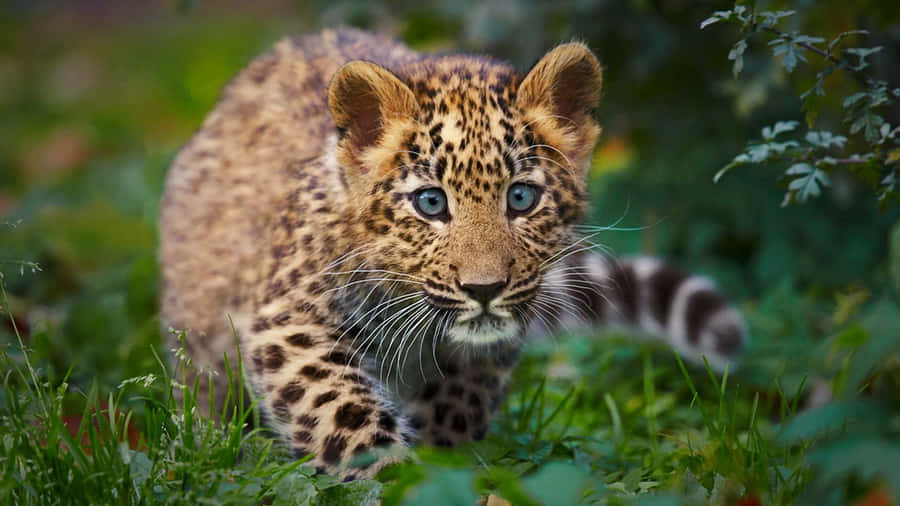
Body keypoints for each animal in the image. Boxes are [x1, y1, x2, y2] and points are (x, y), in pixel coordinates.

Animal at [159, 27, 747, 480]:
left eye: (521, 198)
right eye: (431, 202)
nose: (484, 289)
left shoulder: (488, 344)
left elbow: (460, 402)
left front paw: (443, 467)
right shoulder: (290, 321)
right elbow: (340, 411)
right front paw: (393, 476)